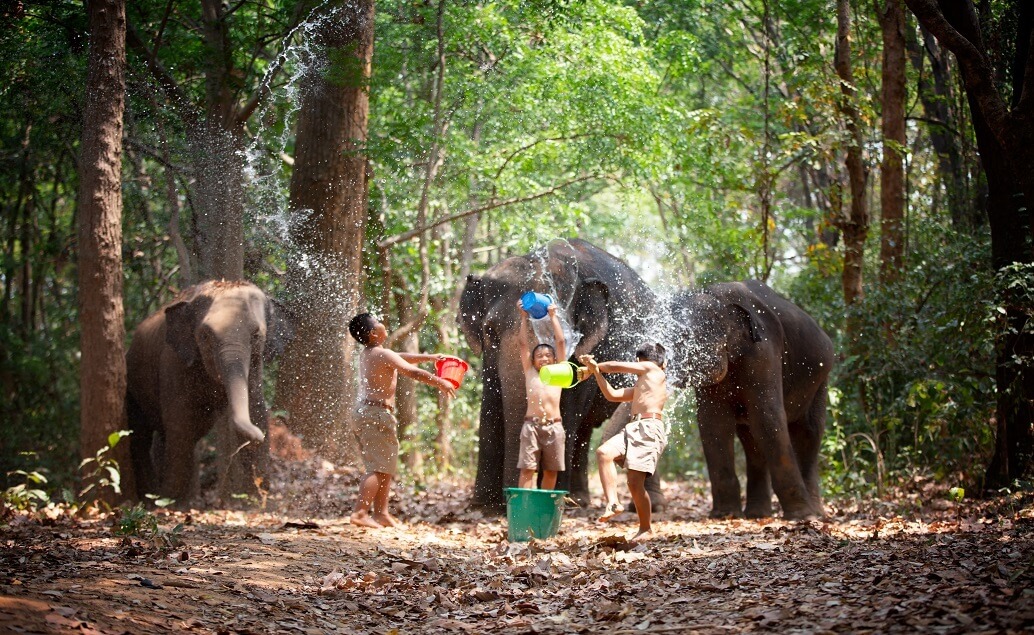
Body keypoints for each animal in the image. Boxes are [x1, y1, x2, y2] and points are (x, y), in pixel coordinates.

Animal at [128, 283, 293, 506]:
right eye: (205, 336)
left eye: (257, 335)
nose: (259, 436)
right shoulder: (173, 362)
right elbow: (180, 428)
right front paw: (169, 504)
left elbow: (257, 410)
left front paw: (256, 503)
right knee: (141, 436)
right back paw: (152, 499)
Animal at [459, 237, 665, 512]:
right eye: (489, 331)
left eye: (563, 338)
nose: (508, 500)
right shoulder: (489, 360)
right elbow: (490, 406)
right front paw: (482, 507)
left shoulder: (592, 345)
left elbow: (568, 410)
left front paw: (551, 498)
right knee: (585, 429)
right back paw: (578, 500)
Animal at [670, 283, 831, 523]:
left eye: (686, 337)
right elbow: (713, 424)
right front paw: (724, 515)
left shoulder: (763, 351)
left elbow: (768, 418)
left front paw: (800, 517)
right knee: (752, 441)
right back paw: (757, 514)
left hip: (821, 379)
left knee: (809, 432)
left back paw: (814, 515)